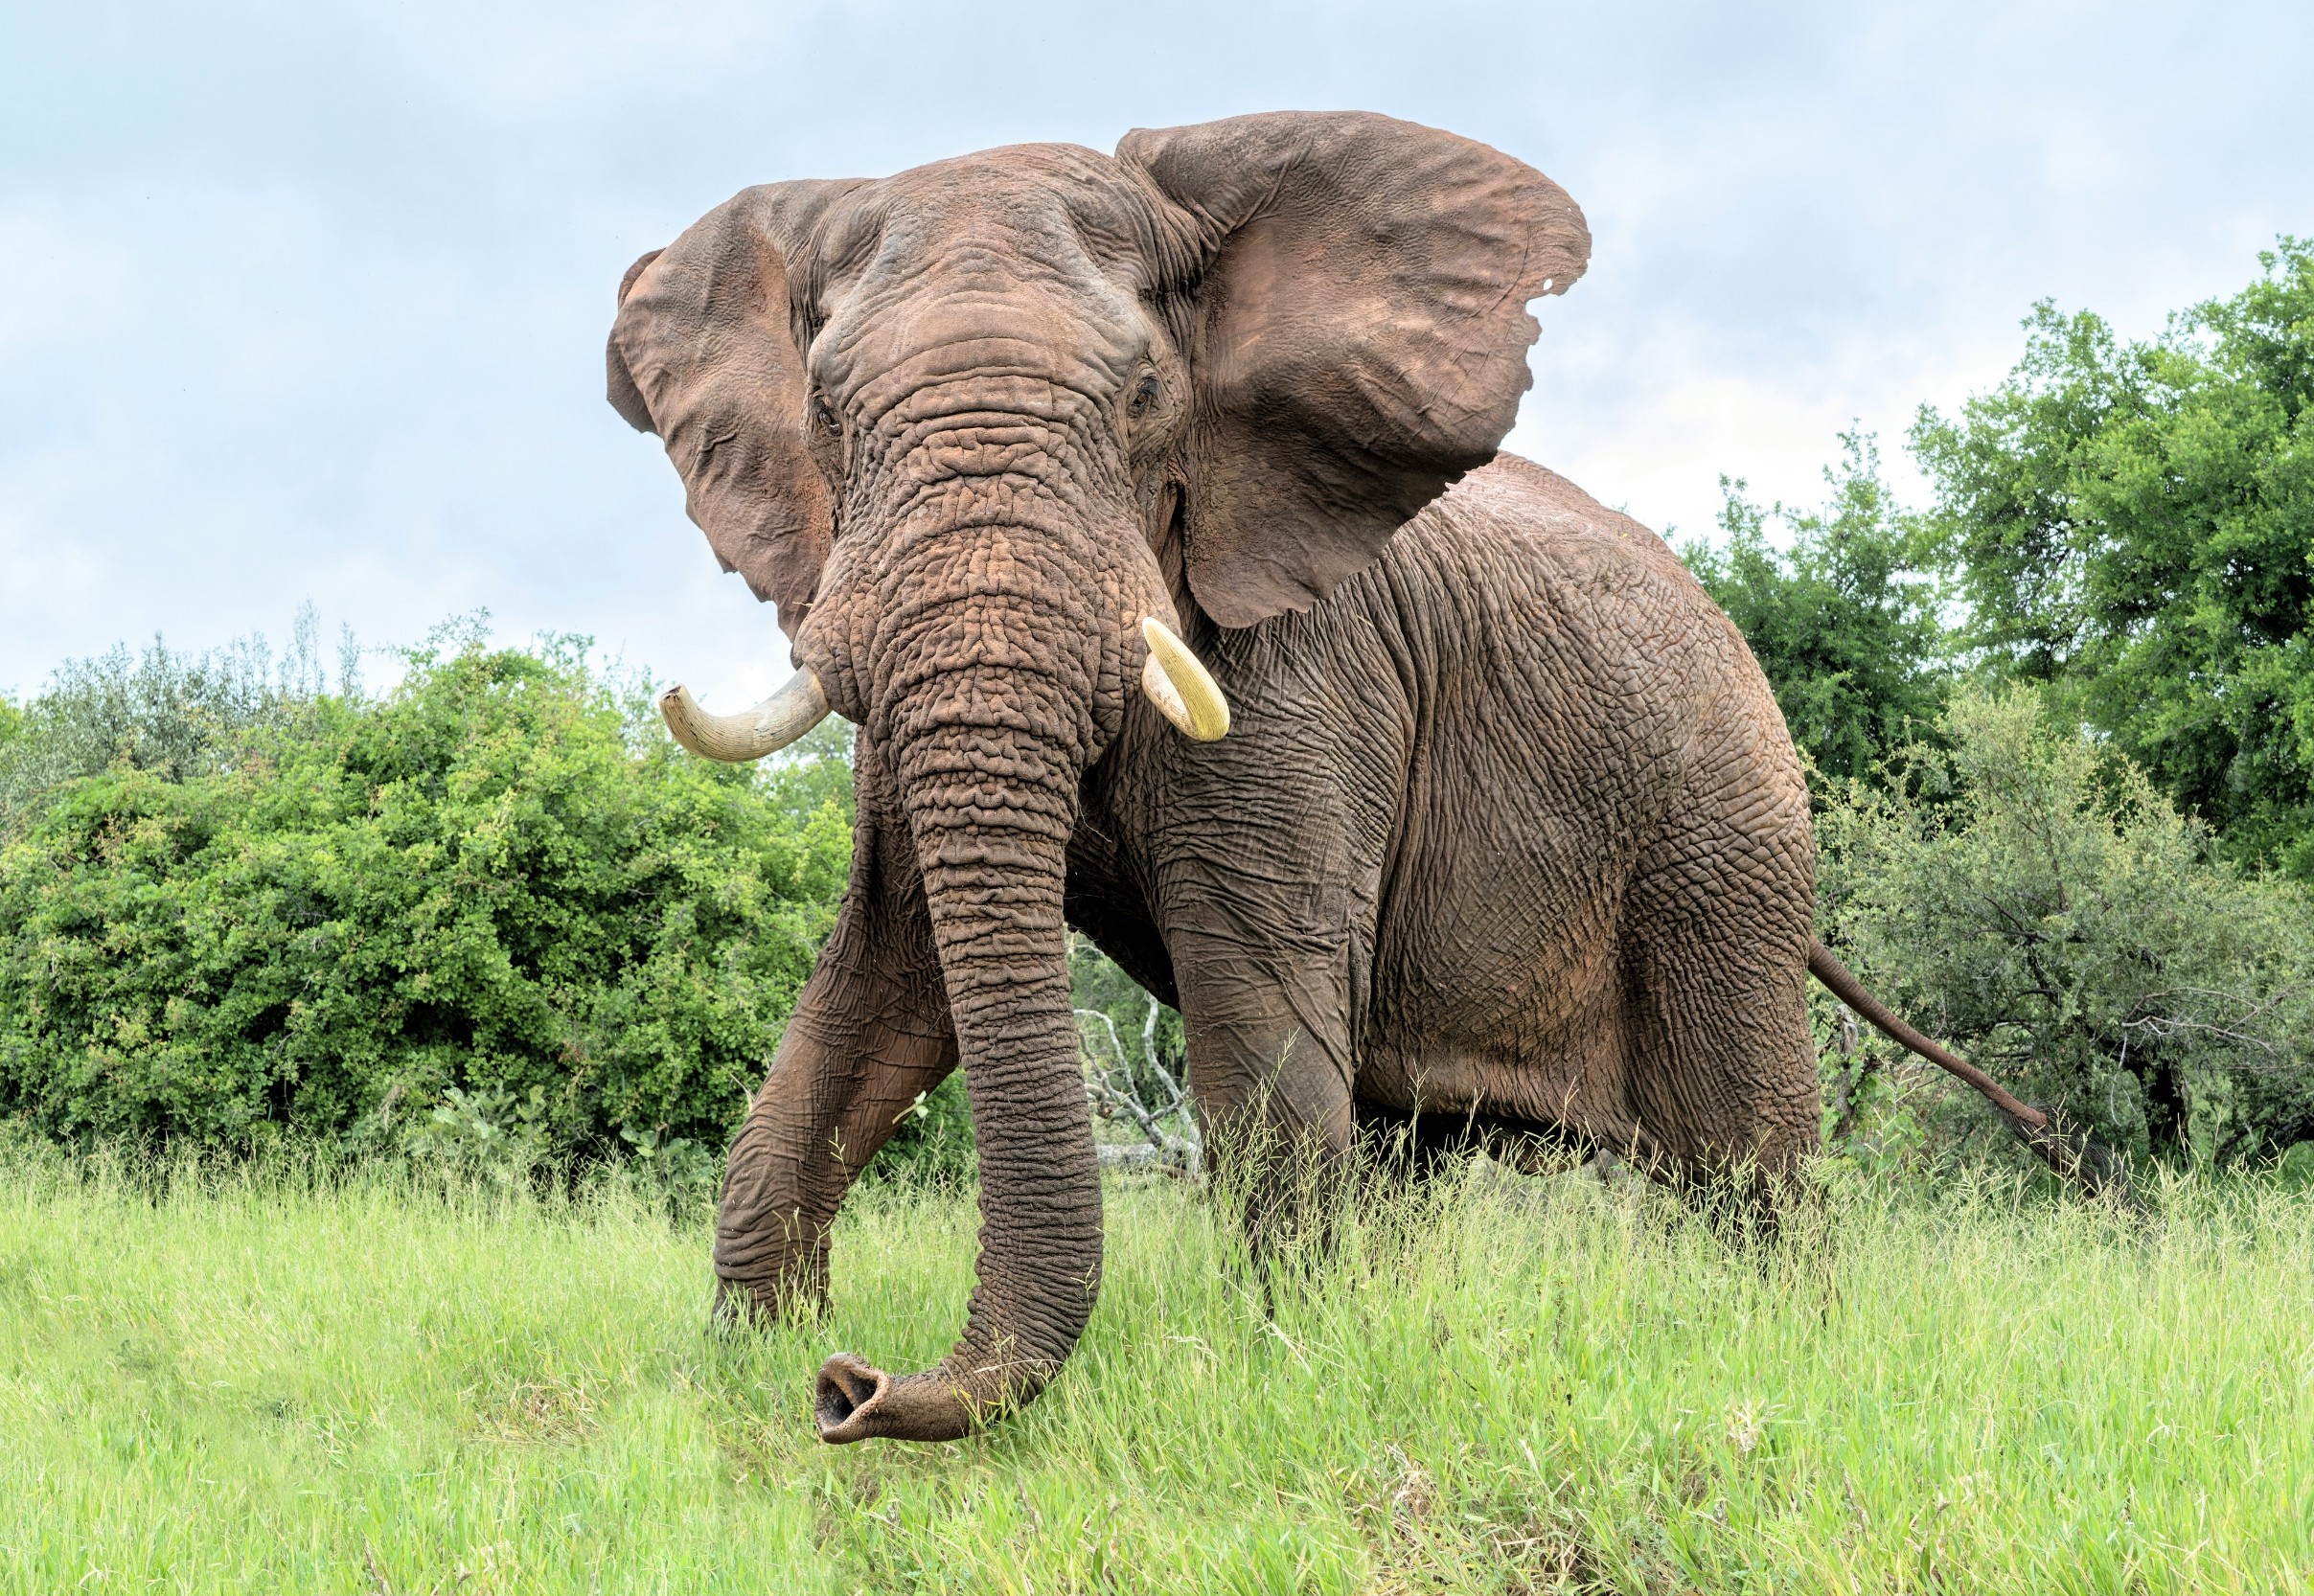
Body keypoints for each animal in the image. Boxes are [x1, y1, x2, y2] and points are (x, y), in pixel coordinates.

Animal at [606, 111, 2085, 1446]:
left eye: (1144, 404)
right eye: (828, 415)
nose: (852, 1387)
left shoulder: (1307, 672)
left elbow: (1253, 1028)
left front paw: (1278, 1378)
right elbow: (873, 989)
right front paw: (748, 1361)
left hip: (1722, 838)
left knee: (1746, 1168)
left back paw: (1783, 1351)